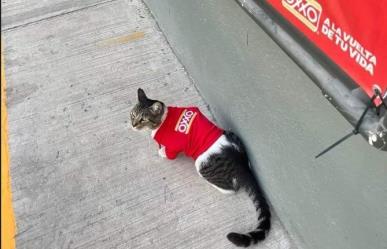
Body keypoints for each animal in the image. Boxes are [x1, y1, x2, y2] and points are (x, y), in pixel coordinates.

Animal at [132, 88, 272, 247]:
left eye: (143, 119)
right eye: (133, 114)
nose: (133, 124)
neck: (163, 120)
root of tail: (242, 164)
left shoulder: (174, 146)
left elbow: (168, 153)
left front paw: (161, 151)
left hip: (201, 163)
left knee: (230, 189)